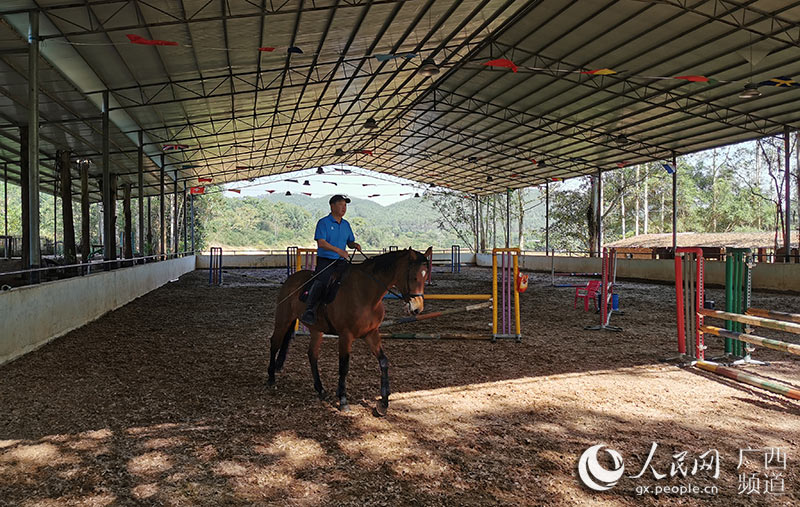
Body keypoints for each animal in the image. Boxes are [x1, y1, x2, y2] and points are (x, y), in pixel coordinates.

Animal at [268, 246, 432, 416]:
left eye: (426, 277)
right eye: (413, 277)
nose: (417, 308)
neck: (366, 294)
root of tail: (292, 279)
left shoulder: (371, 334)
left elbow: (383, 362)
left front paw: (384, 403)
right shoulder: (346, 335)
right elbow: (344, 366)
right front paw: (343, 400)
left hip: (316, 330)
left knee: (312, 354)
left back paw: (320, 389)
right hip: (283, 320)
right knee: (275, 343)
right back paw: (271, 377)